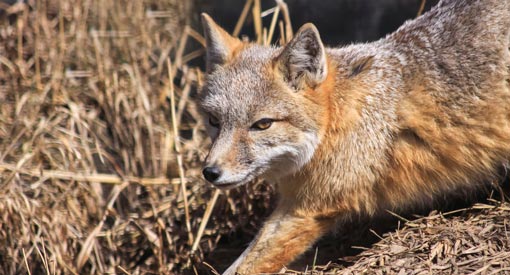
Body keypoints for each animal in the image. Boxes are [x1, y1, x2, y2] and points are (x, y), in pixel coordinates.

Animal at [197, 0, 510, 274]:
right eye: (214, 121)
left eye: (262, 124)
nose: (210, 172)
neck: (337, 116)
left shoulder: (309, 207)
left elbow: (245, 265)